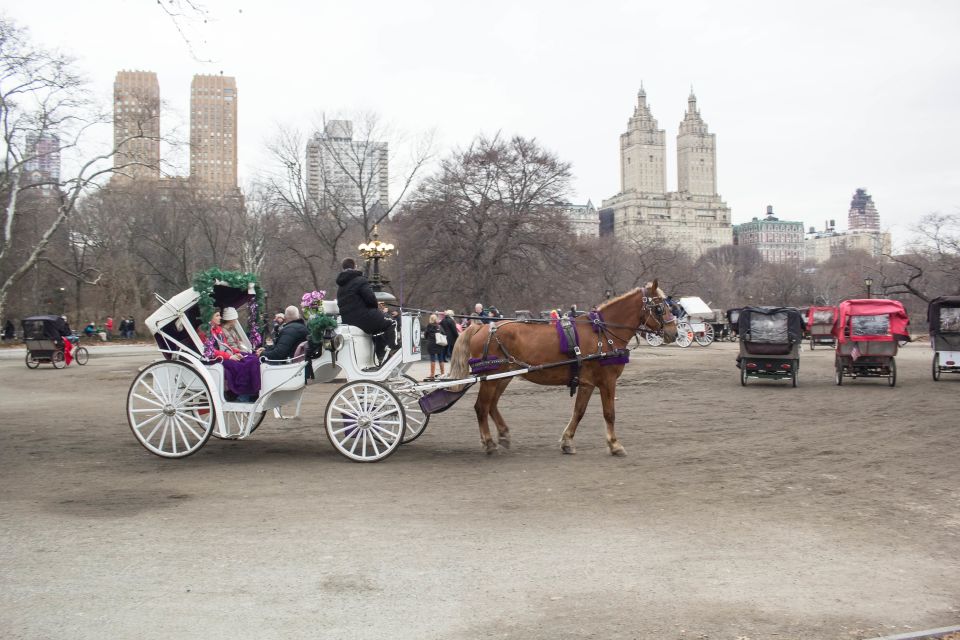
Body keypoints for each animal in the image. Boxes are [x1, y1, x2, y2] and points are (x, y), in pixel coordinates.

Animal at [448, 282, 680, 456]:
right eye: (660, 307)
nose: (674, 332)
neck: (602, 333)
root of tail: (481, 326)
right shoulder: (607, 381)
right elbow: (609, 413)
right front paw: (615, 444)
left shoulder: (587, 383)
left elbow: (579, 411)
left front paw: (567, 441)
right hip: (492, 377)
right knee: (481, 407)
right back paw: (488, 442)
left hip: (503, 376)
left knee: (491, 405)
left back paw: (503, 435)